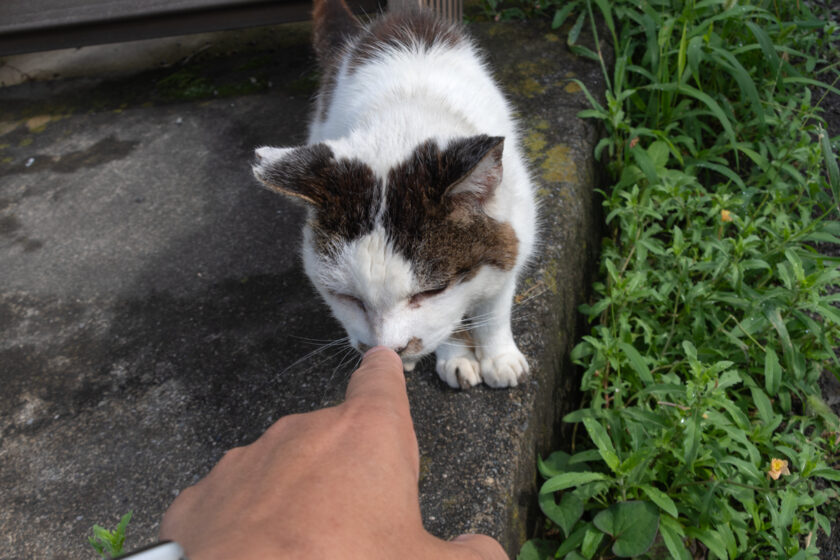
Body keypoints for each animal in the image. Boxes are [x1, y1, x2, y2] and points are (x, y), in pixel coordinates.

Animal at [251, 0, 540, 390]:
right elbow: (447, 323)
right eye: (347, 298)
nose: (390, 349)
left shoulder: (513, 235)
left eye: (430, 292)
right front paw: (456, 357)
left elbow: (494, 308)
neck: (403, 123)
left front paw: (499, 358)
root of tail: (399, 16)